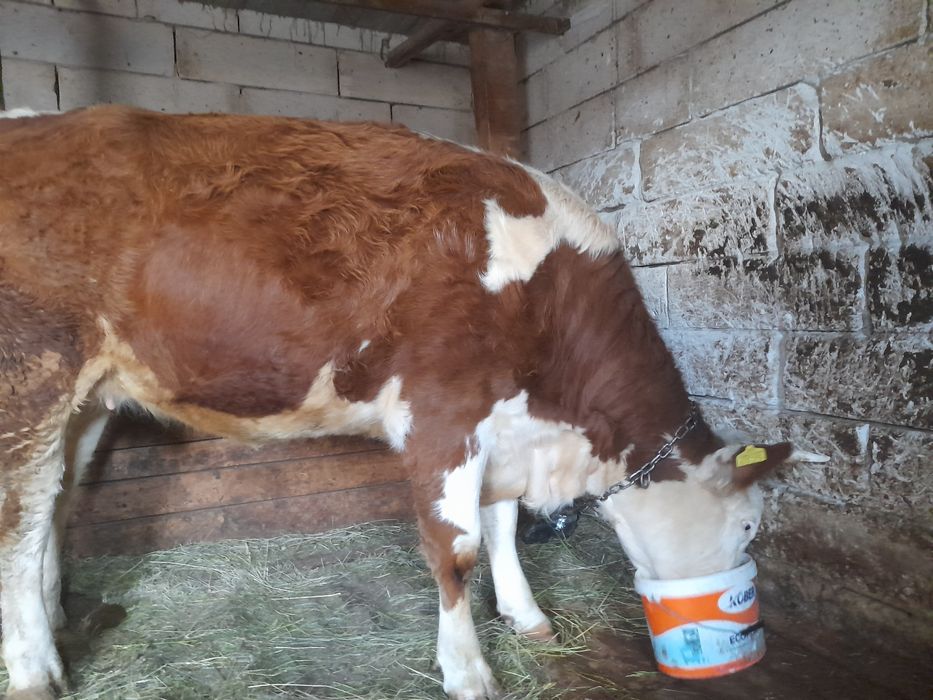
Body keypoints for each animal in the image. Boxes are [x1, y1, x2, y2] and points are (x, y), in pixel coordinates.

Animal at [0, 106, 828, 700]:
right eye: (748, 525)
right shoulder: (443, 412)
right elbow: (456, 549)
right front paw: (468, 672)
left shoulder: (500, 426)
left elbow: (500, 527)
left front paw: (527, 616)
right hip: (31, 376)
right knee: (20, 521)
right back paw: (36, 672)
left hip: (89, 400)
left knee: (56, 507)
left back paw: (57, 618)